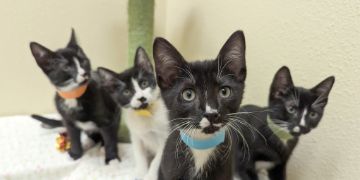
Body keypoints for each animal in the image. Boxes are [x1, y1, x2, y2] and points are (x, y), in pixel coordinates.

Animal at [29, 30, 119, 164]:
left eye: (84, 62)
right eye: (67, 67)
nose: (85, 73)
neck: (73, 95)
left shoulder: (107, 118)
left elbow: (109, 139)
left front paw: (112, 159)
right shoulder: (68, 121)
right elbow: (73, 136)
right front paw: (75, 153)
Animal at [97, 47, 170, 180]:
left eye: (144, 83)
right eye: (126, 92)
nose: (141, 98)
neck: (144, 113)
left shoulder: (166, 135)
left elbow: (157, 160)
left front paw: (150, 176)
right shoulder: (136, 136)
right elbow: (139, 156)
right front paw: (140, 173)